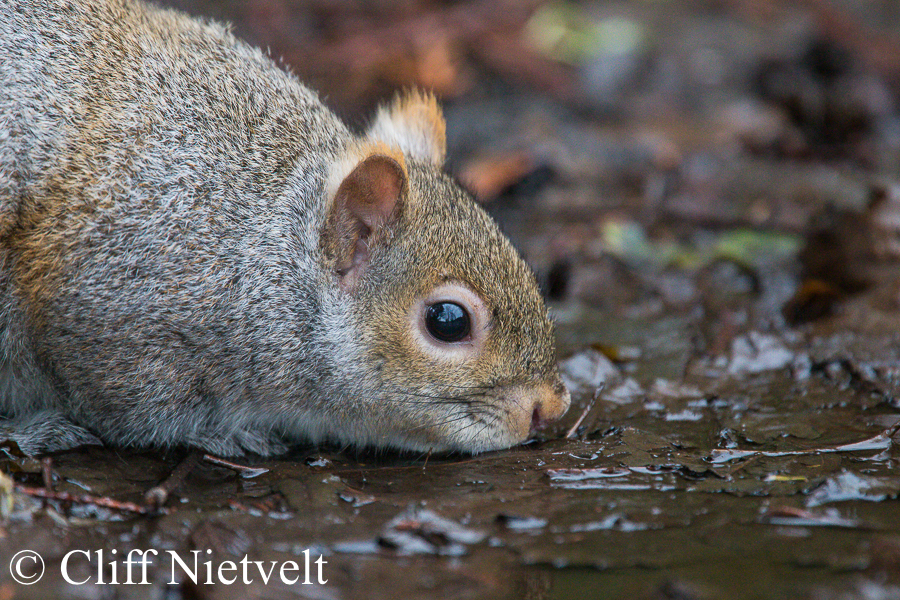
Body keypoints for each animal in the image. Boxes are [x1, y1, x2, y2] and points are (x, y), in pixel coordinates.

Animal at [0, 0, 570, 457]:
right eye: (448, 321)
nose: (549, 408)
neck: (265, 257)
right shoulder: (112, 318)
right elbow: (137, 414)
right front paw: (220, 433)